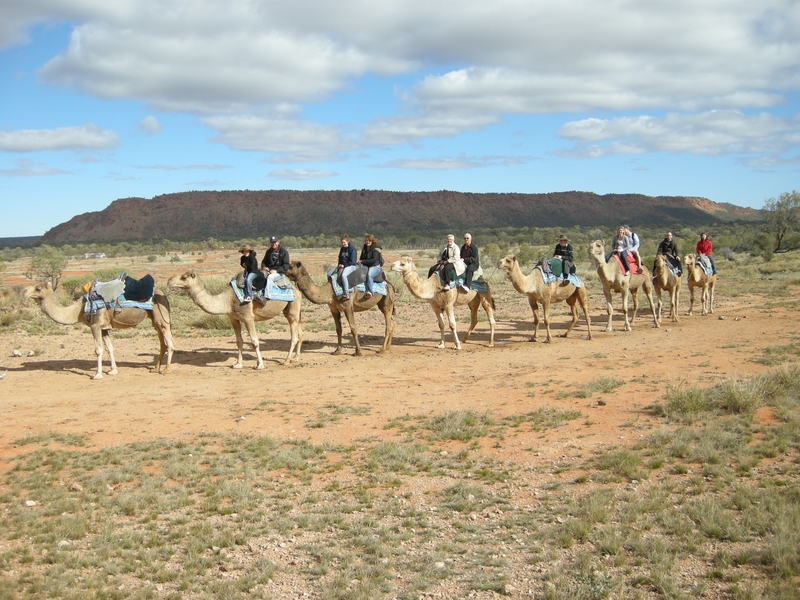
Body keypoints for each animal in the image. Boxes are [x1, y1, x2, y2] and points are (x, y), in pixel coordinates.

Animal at [24, 282, 174, 380]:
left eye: (38, 288)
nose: (25, 291)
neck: (78, 310)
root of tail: (163, 294)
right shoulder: (104, 328)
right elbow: (109, 347)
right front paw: (113, 370)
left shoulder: (95, 325)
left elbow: (98, 349)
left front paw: (97, 374)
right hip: (154, 319)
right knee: (162, 343)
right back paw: (155, 368)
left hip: (161, 317)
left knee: (170, 342)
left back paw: (166, 370)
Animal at [169, 270, 304, 368]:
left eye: (184, 277)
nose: (169, 281)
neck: (227, 300)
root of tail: (296, 289)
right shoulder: (233, 319)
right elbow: (239, 341)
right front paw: (238, 364)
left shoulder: (248, 317)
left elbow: (254, 341)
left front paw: (259, 365)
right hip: (289, 310)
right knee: (299, 332)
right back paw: (296, 358)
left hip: (293, 307)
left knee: (294, 336)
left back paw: (286, 360)